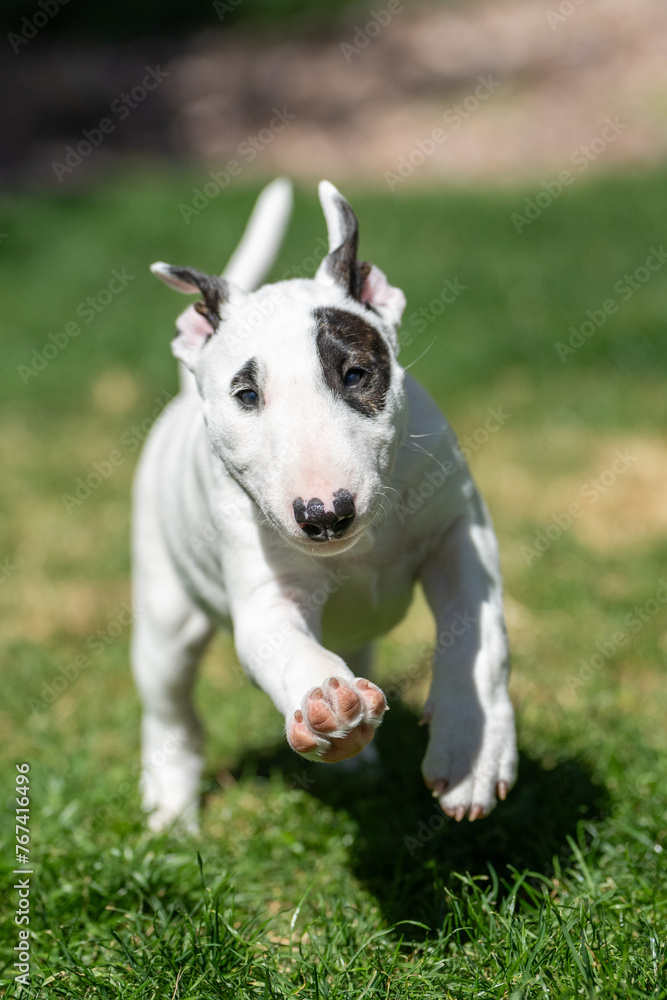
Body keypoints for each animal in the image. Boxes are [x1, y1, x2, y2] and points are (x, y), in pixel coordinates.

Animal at [130, 178, 516, 828]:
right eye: (246, 395)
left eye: (356, 374)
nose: (326, 515)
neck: (361, 545)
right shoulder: (267, 593)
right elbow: (287, 648)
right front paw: (326, 709)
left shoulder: (460, 532)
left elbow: (478, 635)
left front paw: (473, 751)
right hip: (164, 615)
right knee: (171, 712)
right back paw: (171, 813)